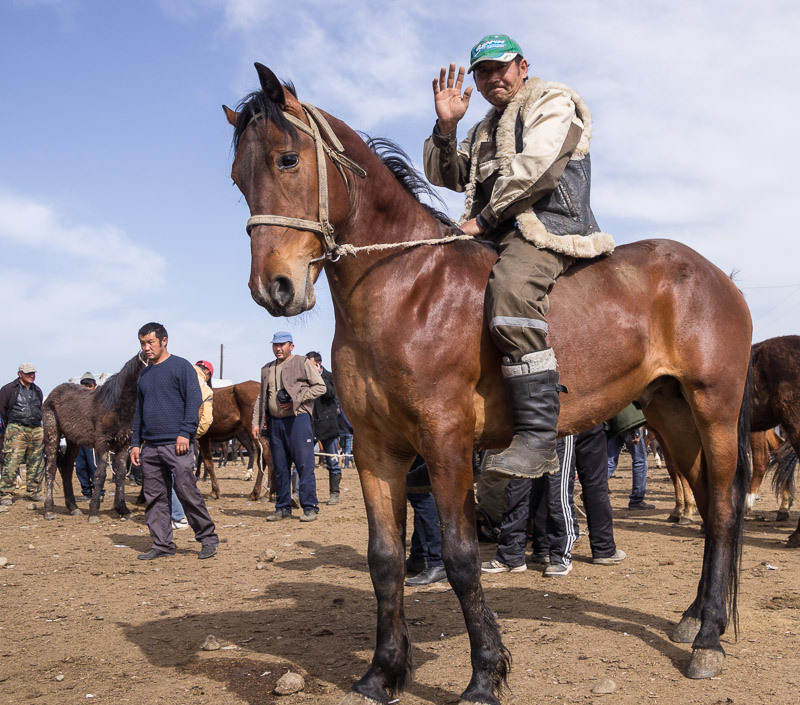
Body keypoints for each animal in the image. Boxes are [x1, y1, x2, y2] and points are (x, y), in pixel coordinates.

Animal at [223, 63, 752, 700]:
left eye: (286, 160)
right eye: (237, 179)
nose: (272, 288)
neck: (406, 287)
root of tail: (717, 276)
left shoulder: (446, 441)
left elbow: (460, 557)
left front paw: (484, 673)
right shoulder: (375, 450)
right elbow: (383, 560)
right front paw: (382, 671)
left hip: (713, 406)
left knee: (723, 508)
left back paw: (709, 640)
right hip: (671, 413)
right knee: (708, 505)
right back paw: (696, 618)